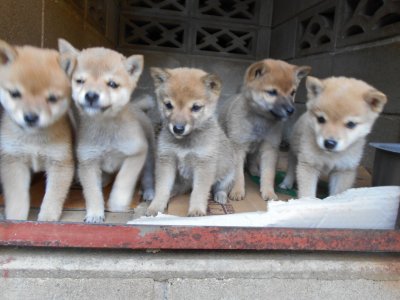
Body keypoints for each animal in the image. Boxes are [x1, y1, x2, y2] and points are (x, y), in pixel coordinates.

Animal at [0, 39, 75, 221]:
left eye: (52, 98)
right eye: (15, 94)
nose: (30, 117)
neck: (33, 138)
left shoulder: (60, 162)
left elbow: (52, 198)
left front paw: (46, 220)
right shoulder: (13, 161)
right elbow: (17, 197)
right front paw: (16, 218)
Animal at [57, 38, 155, 223]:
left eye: (112, 84)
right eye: (80, 81)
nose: (91, 95)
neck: (106, 129)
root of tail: (136, 107)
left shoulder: (136, 153)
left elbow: (124, 180)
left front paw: (118, 202)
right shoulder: (88, 161)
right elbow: (92, 192)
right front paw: (95, 213)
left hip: (148, 156)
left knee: (147, 176)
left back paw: (149, 191)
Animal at [146, 67, 234, 218]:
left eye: (196, 107)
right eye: (168, 105)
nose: (178, 128)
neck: (185, 142)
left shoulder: (204, 164)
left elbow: (199, 192)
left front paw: (197, 210)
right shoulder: (166, 160)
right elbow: (162, 188)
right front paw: (155, 206)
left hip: (229, 174)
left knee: (221, 188)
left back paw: (221, 196)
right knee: (179, 188)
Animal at [220, 59, 310, 202]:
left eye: (292, 93)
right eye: (272, 92)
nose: (291, 110)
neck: (260, 120)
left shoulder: (270, 148)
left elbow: (269, 173)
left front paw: (268, 192)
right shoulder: (238, 148)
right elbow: (238, 174)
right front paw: (237, 190)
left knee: (252, 159)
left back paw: (254, 170)